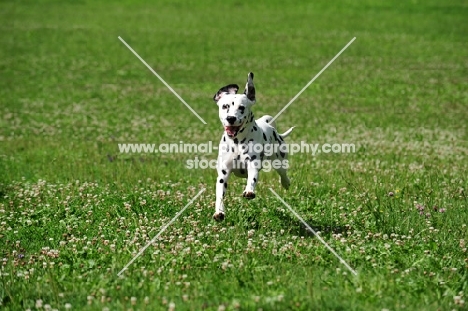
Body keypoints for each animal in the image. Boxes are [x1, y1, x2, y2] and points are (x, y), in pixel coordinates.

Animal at [214, 72, 294, 222]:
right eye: (225, 106)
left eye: (241, 107)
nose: (231, 118)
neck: (237, 143)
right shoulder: (223, 174)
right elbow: (220, 195)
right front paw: (219, 212)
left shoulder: (252, 165)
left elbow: (252, 179)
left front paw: (249, 191)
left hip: (279, 161)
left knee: (283, 174)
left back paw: (286, 183)